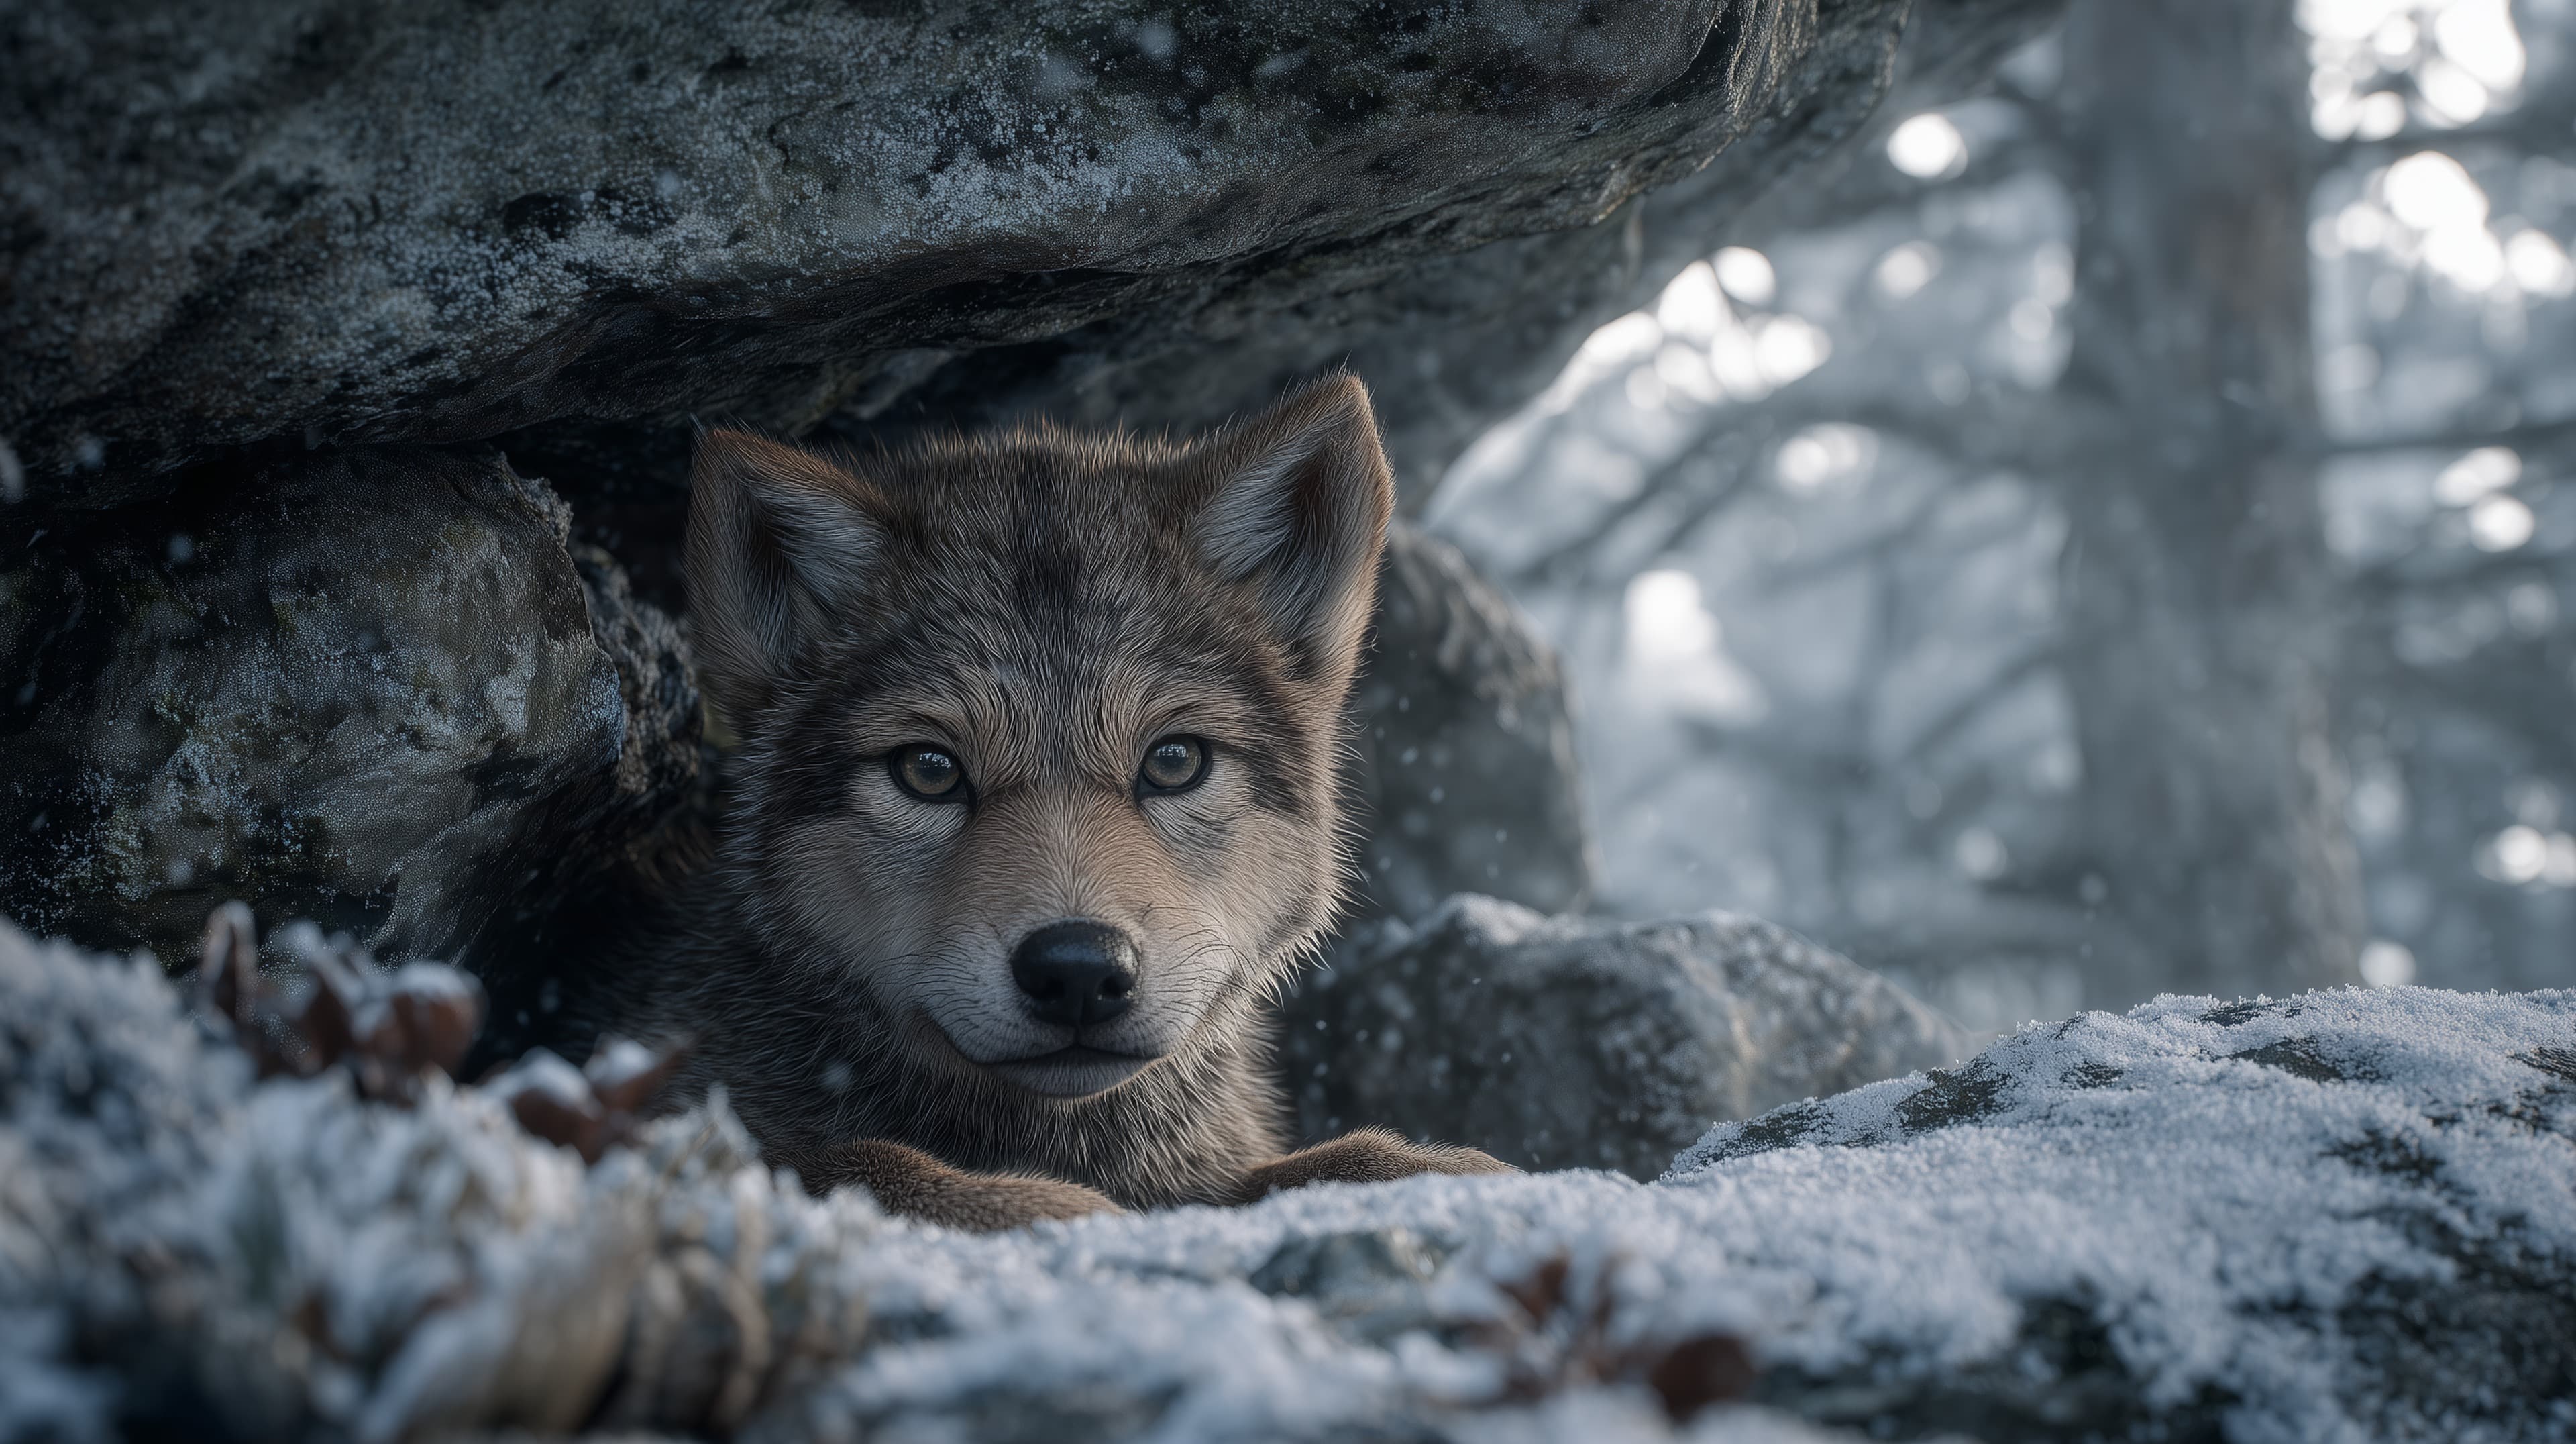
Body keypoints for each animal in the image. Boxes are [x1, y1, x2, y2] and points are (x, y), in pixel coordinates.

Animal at [599, 374, 1510, 1229]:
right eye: (928, 770)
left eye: (1174, 762)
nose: (1078, 969)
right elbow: (848, 1159)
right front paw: (1046, 1203)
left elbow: (1330, 1160)